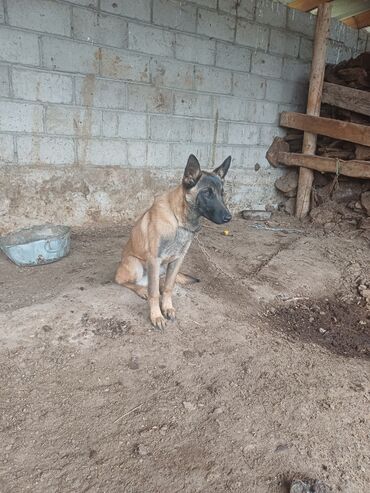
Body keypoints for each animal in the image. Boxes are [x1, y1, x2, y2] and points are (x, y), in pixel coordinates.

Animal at [115, 154, 231, 328]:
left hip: (163, 268)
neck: (179, 221)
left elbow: (169, 286)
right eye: (207, 193)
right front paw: (156, 316)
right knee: (123, 281)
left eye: (222, 193)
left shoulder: (177, 260)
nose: (229, 217)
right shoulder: (154, 259)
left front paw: (167, 307)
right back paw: (141, 290)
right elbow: (154, 293)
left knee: (161, 282)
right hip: (135, 265)